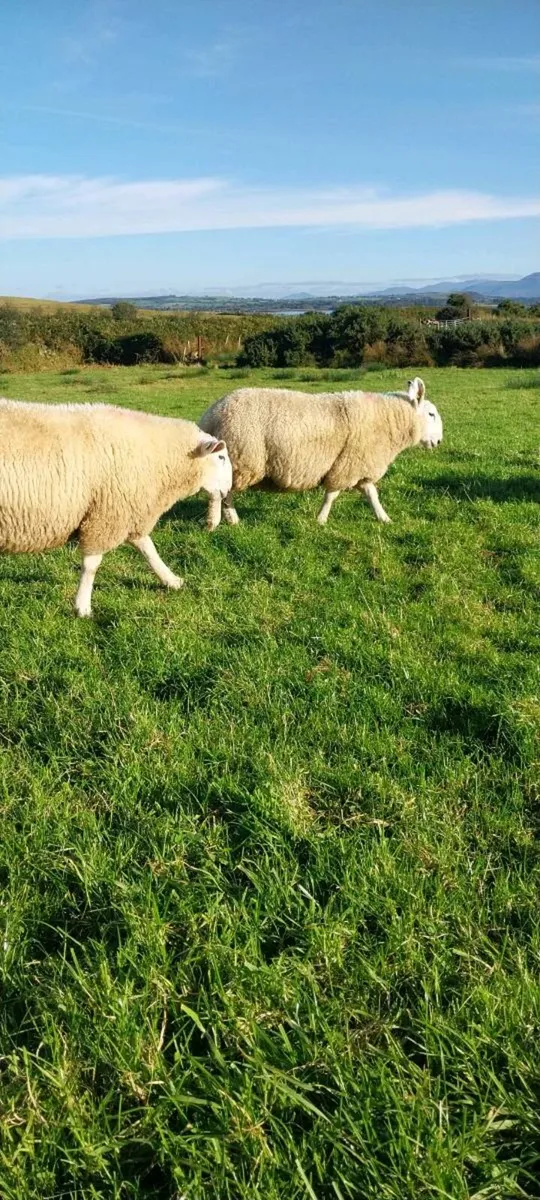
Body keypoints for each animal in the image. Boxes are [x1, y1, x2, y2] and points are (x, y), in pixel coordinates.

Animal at [0, 398, 232, 616]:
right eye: (221, 457)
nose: (228, 490)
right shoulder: (105, 515)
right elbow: (91, 566)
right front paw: (82, 607)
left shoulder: (129, 511)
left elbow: (148, 549)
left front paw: (171, 580)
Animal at [199, 376, 442, 529]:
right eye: (431, 414)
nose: (438, 441)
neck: (389, 419)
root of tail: (211, 415)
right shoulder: (347, 465)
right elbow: (331, 495)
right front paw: (321, 520)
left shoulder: (358, 466)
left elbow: (371, 494)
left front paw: (384, 518)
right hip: (241, 459)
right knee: (220, 494)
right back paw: (223, 520)